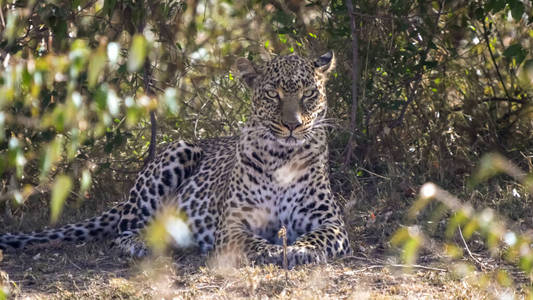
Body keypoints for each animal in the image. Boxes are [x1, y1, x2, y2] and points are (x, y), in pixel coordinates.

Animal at [1, 51, 354, 268]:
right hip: (177, 152)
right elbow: (252, 242)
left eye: (309, 93)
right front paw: (273, 250)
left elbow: (319, 237)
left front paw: (299, 250)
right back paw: (150, 244)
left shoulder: (331, 222)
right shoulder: (232, 225)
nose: (293, 125)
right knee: (123, 232)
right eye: (272, 94)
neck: (282, 155)